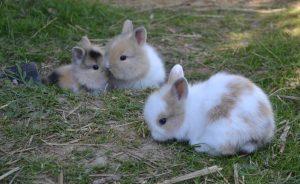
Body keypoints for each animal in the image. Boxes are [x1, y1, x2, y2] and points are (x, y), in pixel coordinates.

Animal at [144, 64, 276, 155]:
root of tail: (262, 133)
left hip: (222, 133)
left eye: (162, 121)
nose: (154, 136)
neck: (186, 112)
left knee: (226, 150)